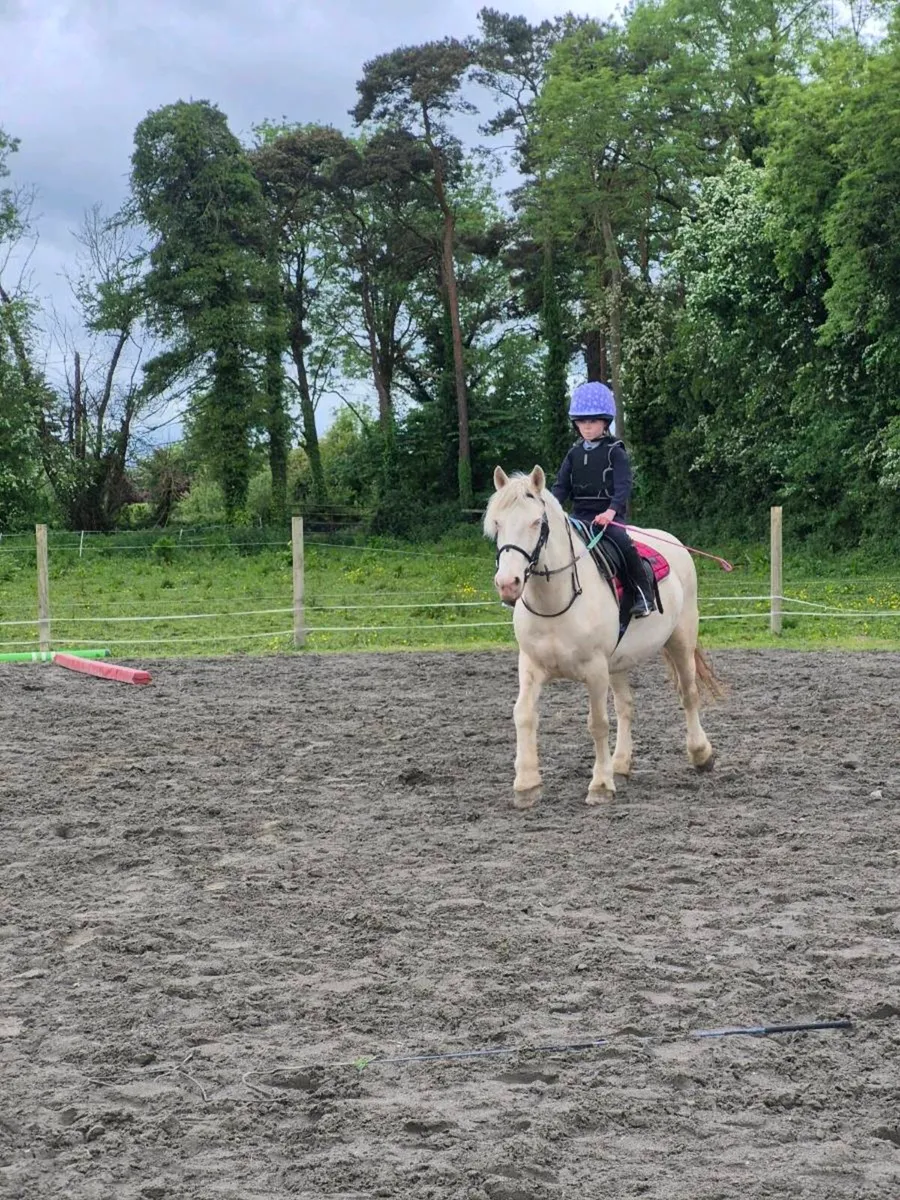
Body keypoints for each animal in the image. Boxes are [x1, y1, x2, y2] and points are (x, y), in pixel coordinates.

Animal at [485, 465, 720, 808]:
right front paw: (527, 785)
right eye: (497, 524)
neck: (556, 601)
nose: (507, 584)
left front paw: (600, 785)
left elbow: (597, 723)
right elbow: (524, 715)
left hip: (681, 640)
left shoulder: (595, 670)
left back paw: (701, 754)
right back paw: (620, 764)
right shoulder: (531, 666)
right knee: (626, 706)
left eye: (536, 522)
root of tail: (672, 543)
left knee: (687, 694)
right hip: (618, 662)